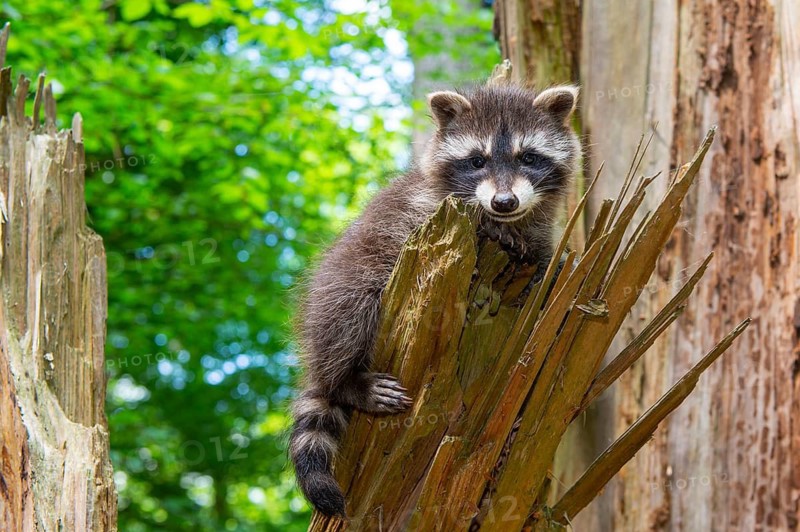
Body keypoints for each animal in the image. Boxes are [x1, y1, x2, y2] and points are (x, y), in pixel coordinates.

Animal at [289, 83, 581, 517]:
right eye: (476, 161)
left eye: (528, 157)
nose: (504, 203)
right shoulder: (422, 212)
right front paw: (493, 232)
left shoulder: (539, 230)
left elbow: (545, 263)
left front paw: (550, 268)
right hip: (345, 279)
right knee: (348, 311)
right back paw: (344, 381)